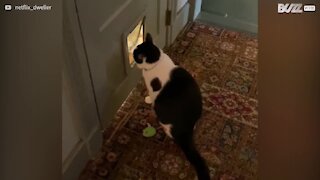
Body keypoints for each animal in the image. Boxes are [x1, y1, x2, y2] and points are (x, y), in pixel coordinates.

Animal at [132, 33, 210, 179]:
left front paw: (147, 99)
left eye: (135, 54)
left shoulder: (153, 89)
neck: (156, 61)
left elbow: (151, 95)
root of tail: (187, 129)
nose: (133, 53)